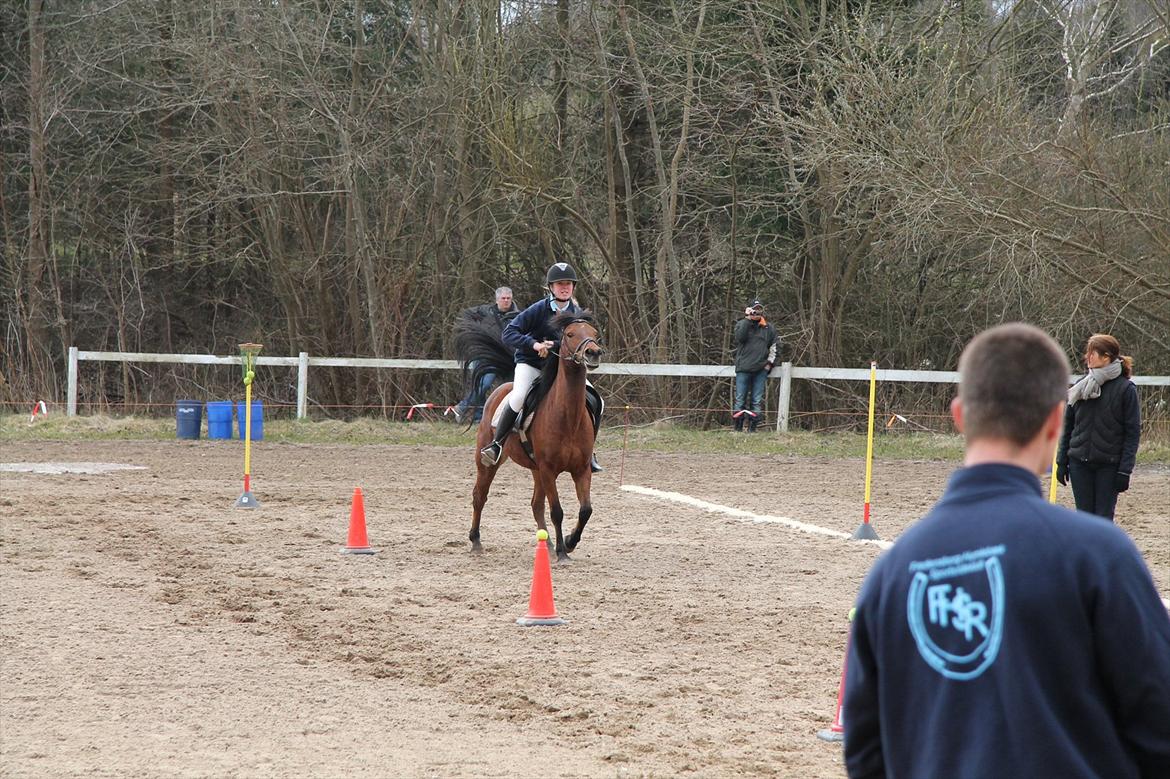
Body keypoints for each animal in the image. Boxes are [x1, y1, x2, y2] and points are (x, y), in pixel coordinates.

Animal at [454, 311, 604, 562]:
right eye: (570, 334)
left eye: (594, 333)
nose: (593, 352)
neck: (568, 418)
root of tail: (503, 386)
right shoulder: (548, 469)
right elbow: (557, 511)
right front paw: (563, 553)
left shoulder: (581, 469)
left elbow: (586, 510)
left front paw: (569, 542)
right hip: (489, 462)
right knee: (479, 496)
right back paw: (476, 541)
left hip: (536, 470)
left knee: (536, 505)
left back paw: (549, 544)